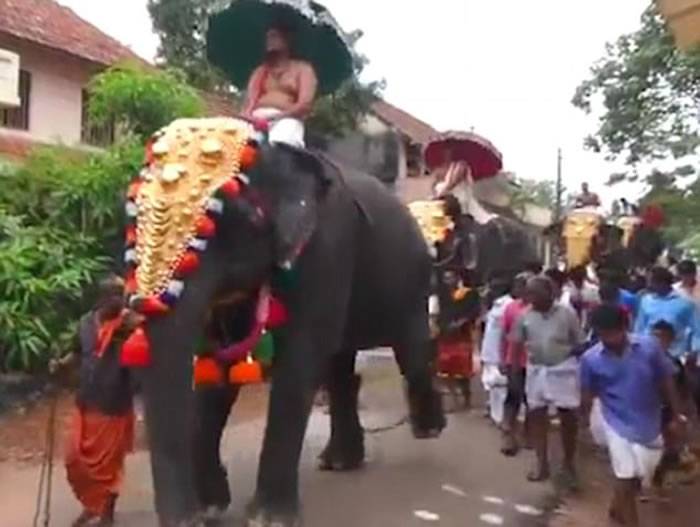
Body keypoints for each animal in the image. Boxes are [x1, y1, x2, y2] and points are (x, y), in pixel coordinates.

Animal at [123, 117, 446, 524]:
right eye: (133, 214)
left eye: (237, 219)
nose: (190, 520)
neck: (275, 154)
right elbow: (221, 364)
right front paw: (213, 507)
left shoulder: (328, 247)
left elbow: (299, 360)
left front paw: (268, 518)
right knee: (341, 367)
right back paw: (341, 461)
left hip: (411, 281)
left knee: (411, 352)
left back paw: (428, 428)